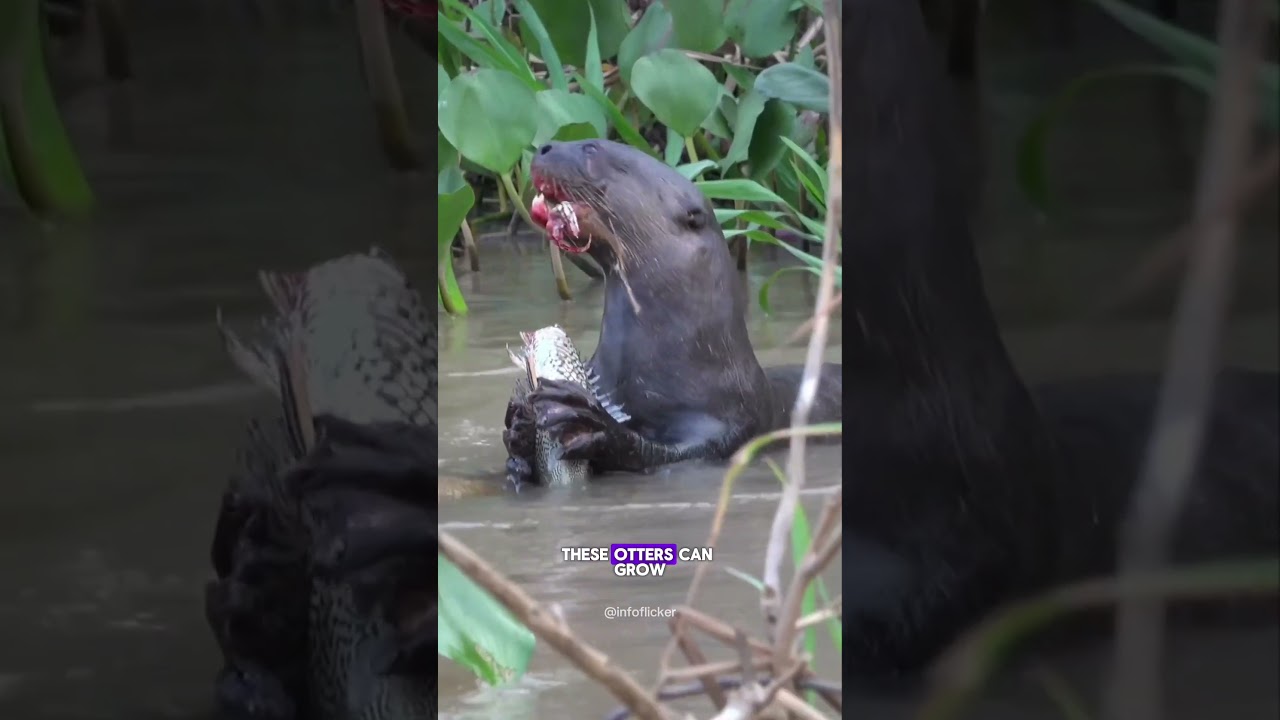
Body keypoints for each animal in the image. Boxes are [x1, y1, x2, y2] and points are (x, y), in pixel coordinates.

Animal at [501, 140, 843, 483]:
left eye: (591, 147)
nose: (544, 147)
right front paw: (521, 424)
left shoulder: (725, 428)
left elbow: (663, 453)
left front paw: (590, 422)